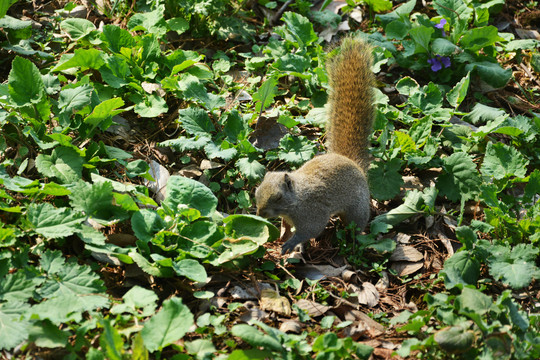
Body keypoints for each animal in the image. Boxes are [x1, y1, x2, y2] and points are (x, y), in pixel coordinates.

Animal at [254, 38, 374, 255]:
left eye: (278, 198)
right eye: (257, 192)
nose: (260, 213)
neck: (296, 200)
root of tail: (353, 163)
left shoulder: (312, 213)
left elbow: (311, 230)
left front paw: (291, 243)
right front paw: (285, 235)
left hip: (357, 209)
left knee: (357, 224)